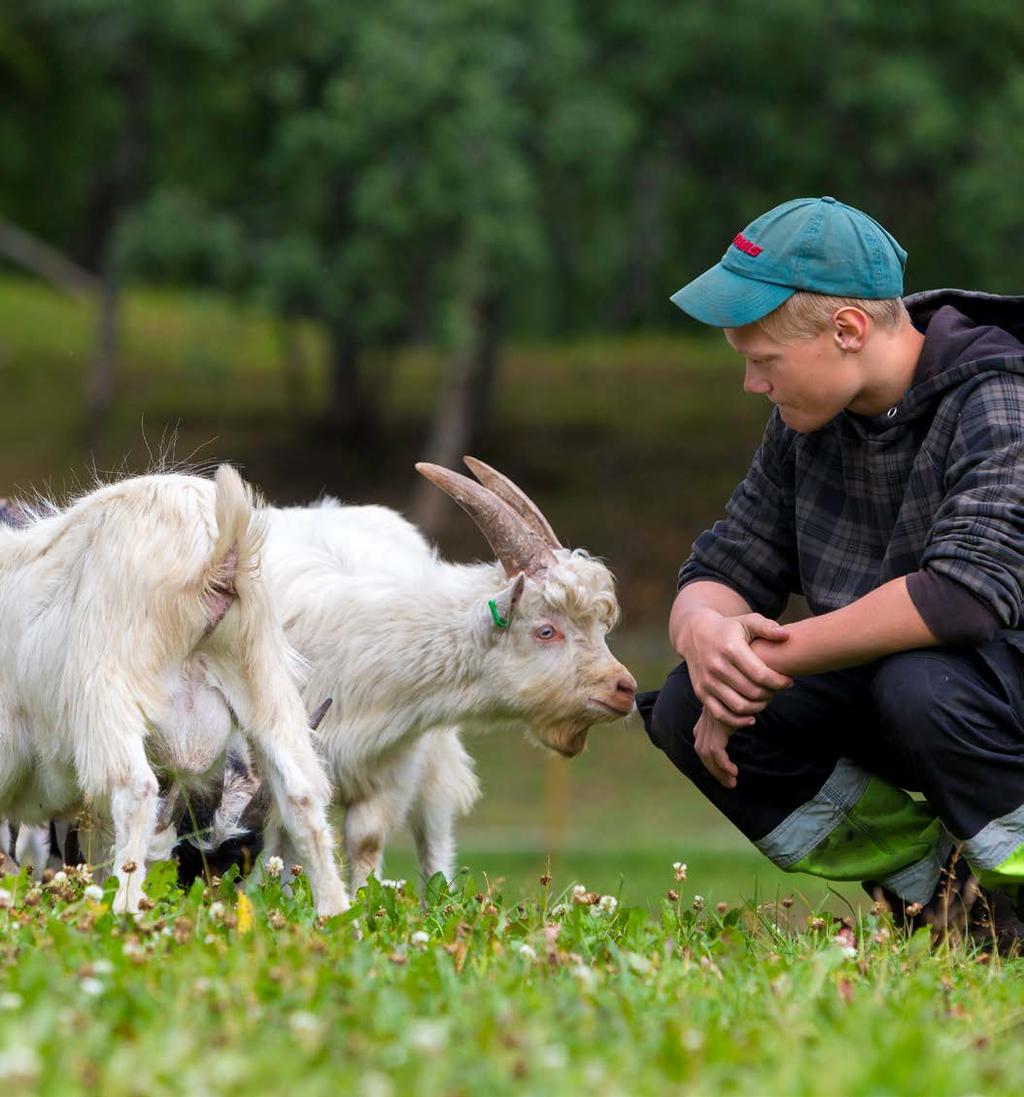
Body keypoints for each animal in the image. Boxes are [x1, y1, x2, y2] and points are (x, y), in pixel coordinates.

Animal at [0, 467, 346, 912]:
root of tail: (218, 556)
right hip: (263, 677)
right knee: (302, 794)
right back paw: (336, 914)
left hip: (110, 692)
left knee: (135, 791)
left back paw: (123, 910)